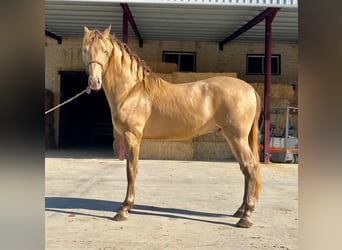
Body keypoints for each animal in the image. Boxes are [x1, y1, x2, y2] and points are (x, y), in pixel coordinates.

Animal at [81, 25, 260, 229]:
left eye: (105, 51)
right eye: (85, 50)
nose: (94, 83)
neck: (132, 91)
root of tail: (249, 89)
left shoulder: (132, 136)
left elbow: (131, 170)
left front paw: (124, 209)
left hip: (237, 137)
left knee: (250, 167)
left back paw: (246, 217)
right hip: (233, 138)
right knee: (245, 169)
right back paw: (240, 210)